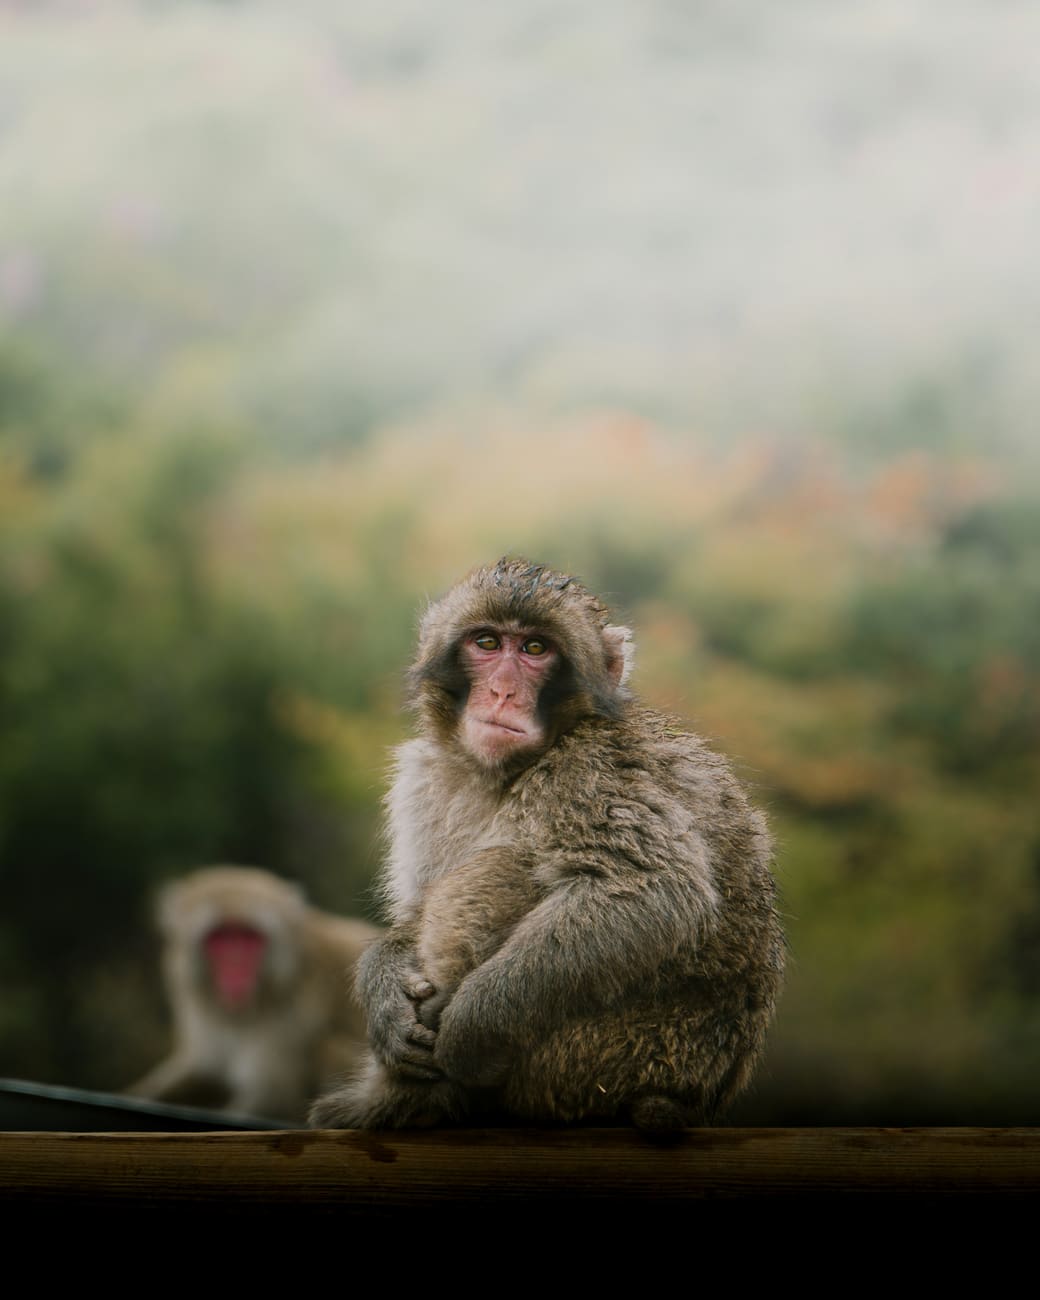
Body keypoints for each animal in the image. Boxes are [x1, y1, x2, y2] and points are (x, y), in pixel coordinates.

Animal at [128, 865, 381, 1124]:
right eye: (220, 937)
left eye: (248, 937)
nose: (235, 966)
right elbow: (205, 1070)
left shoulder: (289, 1012)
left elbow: (270, 1097)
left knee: (329, 1047)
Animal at [309, 558, 784, 1133]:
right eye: (488, 642)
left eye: (536, 649)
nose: (502, 693)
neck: (511, 770)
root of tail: (696, 1096)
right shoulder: (426, 776)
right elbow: (415, 908)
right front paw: (383, 990)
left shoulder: (589, 771)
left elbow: (654, 892)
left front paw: (467, 1032)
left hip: (608, 1057)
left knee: (505, 867)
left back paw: (411, 1101)